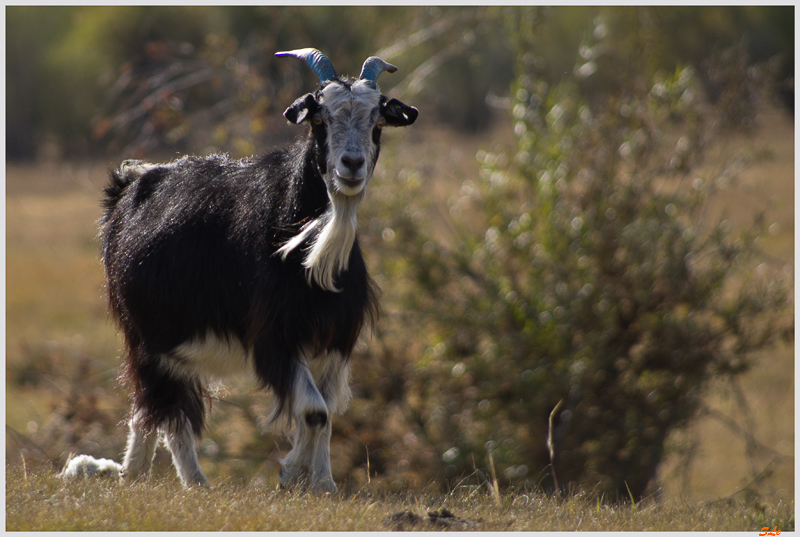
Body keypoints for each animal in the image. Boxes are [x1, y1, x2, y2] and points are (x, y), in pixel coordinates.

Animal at [95, 48, 418, 492]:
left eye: (377, 122)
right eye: (320, 119)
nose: (350, 165)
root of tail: (130, 182)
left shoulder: (334, 339)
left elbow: (325, 414)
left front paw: (323, 484)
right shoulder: (274, 337)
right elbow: (313, 410)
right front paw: (290, 473)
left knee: (151, 409)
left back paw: (136, 474)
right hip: (146, 336)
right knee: (165, 409)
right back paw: (192, 482)